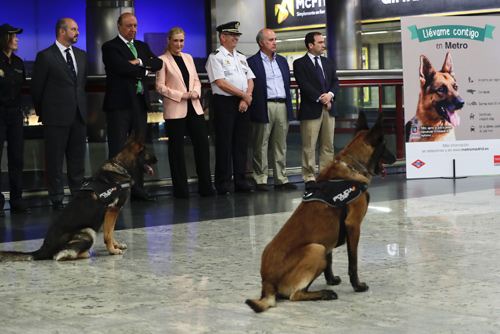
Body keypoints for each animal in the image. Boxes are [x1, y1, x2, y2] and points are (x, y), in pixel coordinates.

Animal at [0, 135, 157, 260]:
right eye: (147, 152)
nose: (156, 159)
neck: (121, 166)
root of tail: (42, 249)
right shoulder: (112, 210)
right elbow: (108, 234)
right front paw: (112, 250)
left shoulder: (110, 215)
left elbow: (110, 233)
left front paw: (115, 245)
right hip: (88, 232)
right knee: (59, 256)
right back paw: (84, 254)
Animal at [246, 112, 394, 314]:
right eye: (385, 145)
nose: (394, 158)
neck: (351, 167)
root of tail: (266, 282)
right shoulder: (353, 226)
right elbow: (353, 262)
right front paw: (357, 286)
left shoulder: (329, 240)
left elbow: (330, 261)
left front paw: (331, 279)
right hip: (316, 249)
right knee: (295, 295)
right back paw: (324, 294)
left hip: (320, 248)